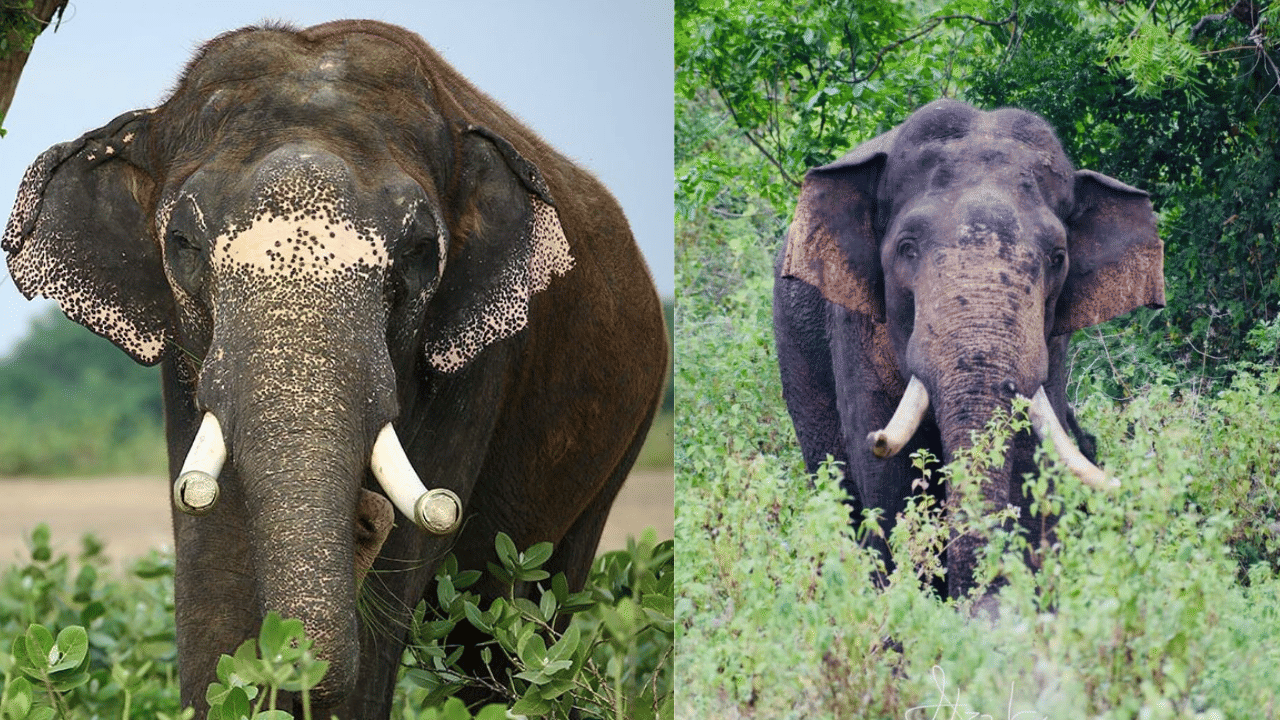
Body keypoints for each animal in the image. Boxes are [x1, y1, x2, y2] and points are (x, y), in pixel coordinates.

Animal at [2, 20, 667, 719]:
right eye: (181, 244)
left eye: (420, 253)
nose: (365, 517)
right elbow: (212, 563)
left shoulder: (477, 361)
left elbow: (398, 579)